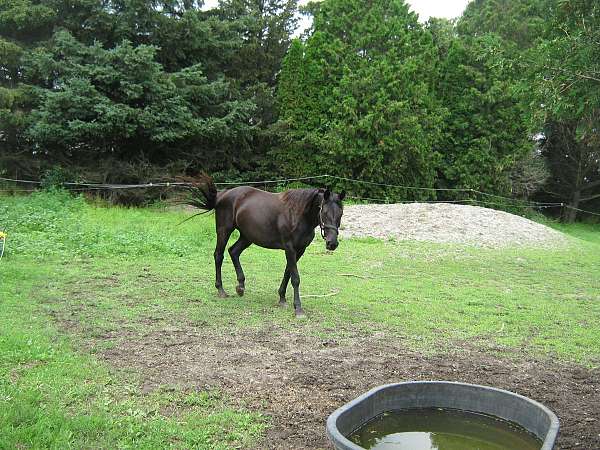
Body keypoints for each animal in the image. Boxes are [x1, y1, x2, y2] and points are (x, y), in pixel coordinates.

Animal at [188, 174, 346, 318]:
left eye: (341, 213)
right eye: (324, 212)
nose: (332, 243)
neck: (298, 215)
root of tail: (223, 195)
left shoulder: (299, 250)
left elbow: (287, 273)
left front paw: (282, 298)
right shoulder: (290, 248)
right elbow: (295, 278)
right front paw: (298, 309)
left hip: (247, 237)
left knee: (233, 252)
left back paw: (240, 287)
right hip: (224, 230)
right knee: (219, 256)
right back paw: (221, 290)